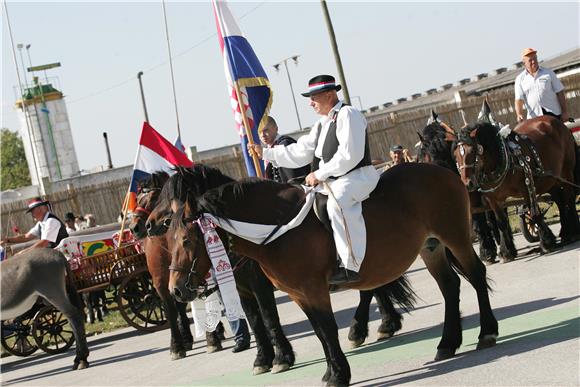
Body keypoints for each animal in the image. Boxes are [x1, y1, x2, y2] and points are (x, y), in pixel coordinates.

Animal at [160, 164, 498, 387]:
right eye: (169, 240)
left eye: (186, 241)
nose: (176, 290)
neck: (277, 227)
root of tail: (443, 171)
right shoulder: (297, 294)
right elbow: (318, 332)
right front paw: (330, 371)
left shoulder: (311, 289)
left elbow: (325, 329)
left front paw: (337, 374)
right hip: (431, 247)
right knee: (450, 286)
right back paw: (446, 343)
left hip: (455, 237)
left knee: (476, 276)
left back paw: (486, 333)